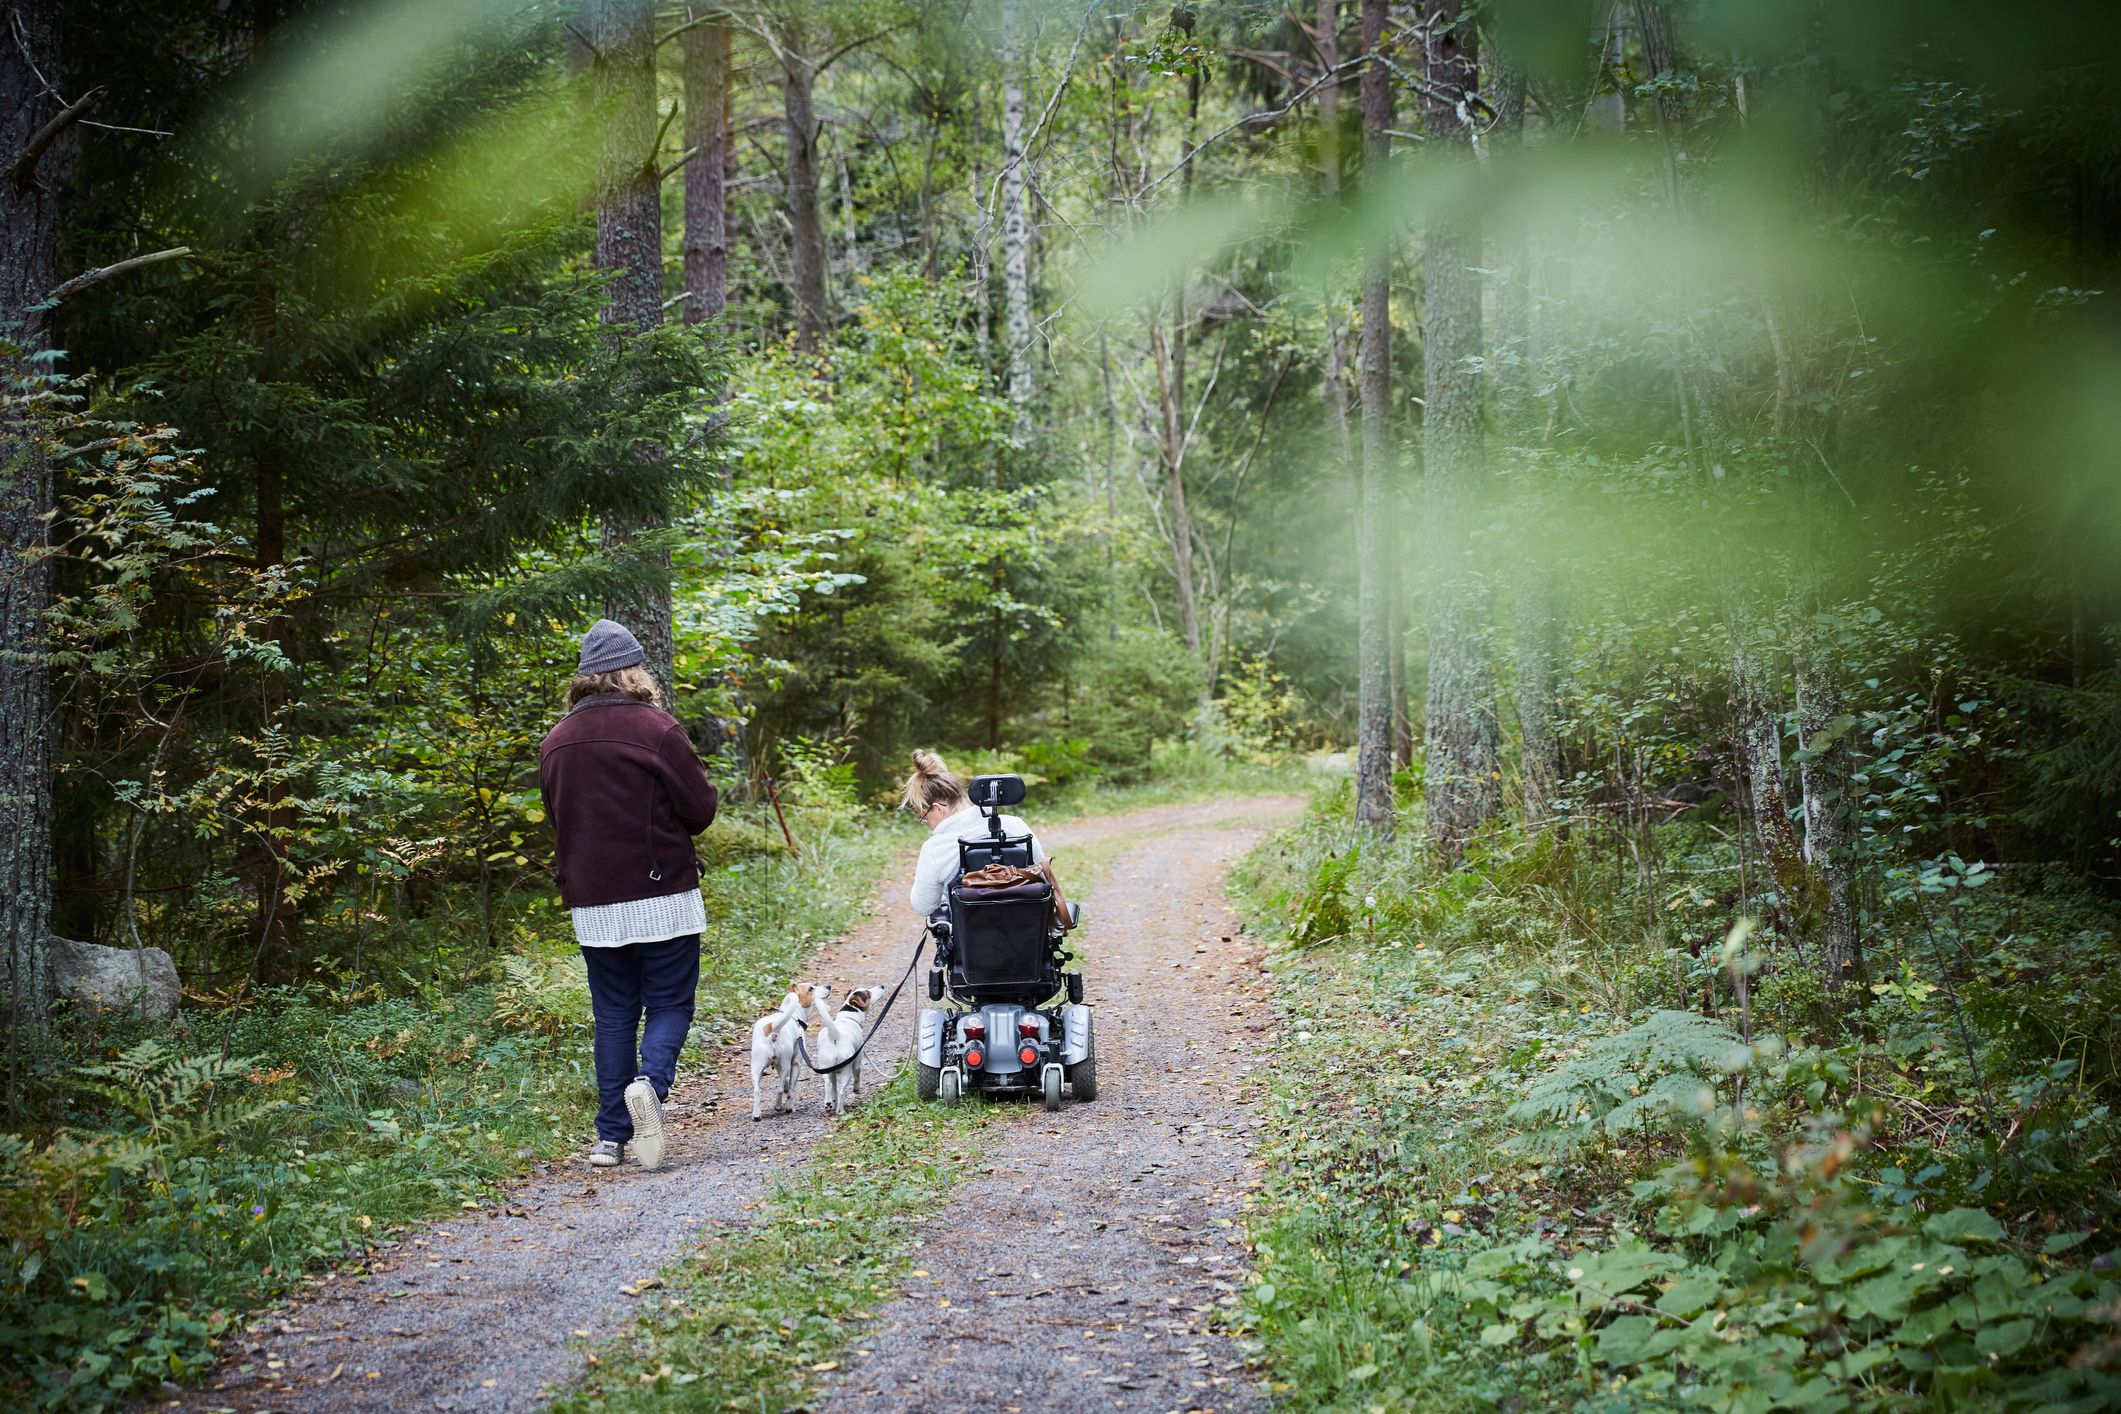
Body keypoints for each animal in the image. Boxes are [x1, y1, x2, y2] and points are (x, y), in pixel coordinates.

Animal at [755, 979, 827, 1119]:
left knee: (757, 1091)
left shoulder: (779, 1065)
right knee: (779, 1090)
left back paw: (756, 1115)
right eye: (811, 988)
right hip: (786, 1065)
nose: (829, 986)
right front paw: (789, 1107)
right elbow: (791, 1089)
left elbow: (787, 1084)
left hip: (757, 1068)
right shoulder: (796, 1064)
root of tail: (773, 1029)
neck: (794, 1016)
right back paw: (778, 1106)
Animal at [810, 983, 878, 1119]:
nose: (882, 986)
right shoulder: (857, 1063)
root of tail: (835, 1035)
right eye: (868, 993)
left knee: (828, 1085)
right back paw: (840, 1111)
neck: (847, 1018)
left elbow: (834, 1089)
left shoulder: (832, 1074)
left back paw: (828, 1104)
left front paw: (833, 1102)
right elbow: (857, 1077)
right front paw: (856, 1090)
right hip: (847, 1072)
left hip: (825, 1070)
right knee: (842, 1091)